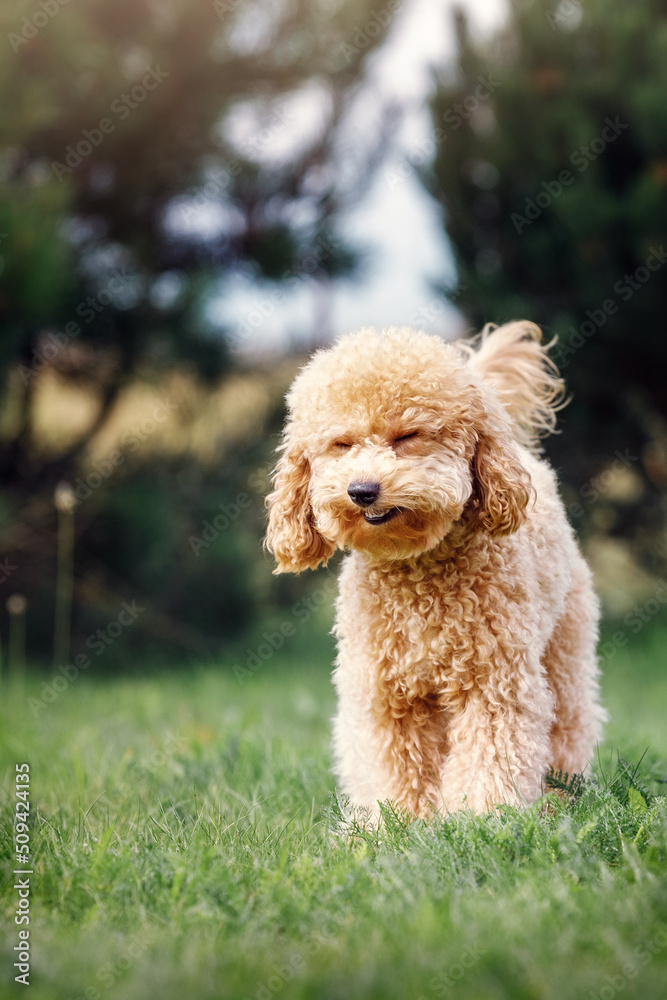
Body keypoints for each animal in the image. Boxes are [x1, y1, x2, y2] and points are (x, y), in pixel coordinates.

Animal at [264, 324, 604, 816]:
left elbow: (492, 752)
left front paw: (482, 817)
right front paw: (396, 820)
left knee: (568, 723)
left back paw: (561, 797)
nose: (362, 490)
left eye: (408, 436)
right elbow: (396, 763)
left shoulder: (494, 682)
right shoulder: (388, 692)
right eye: (342, 444)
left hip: (564, 649)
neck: (417, 575)